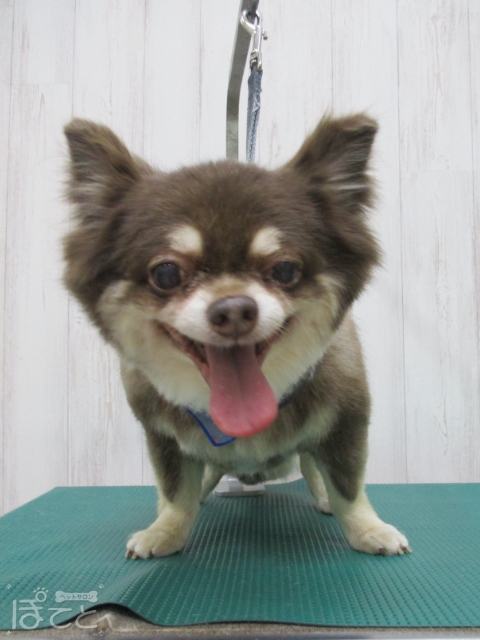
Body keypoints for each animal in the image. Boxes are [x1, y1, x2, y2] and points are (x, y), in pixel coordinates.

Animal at [63, 114, 410, 559]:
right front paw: (165, 531)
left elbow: (348, 485)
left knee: (313, 468)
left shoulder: (346, 421)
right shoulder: (161, 435)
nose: (232, 311)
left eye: (284, 270)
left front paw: (368, 529)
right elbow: (175, 489)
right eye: (166, 274)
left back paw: (324, 499)